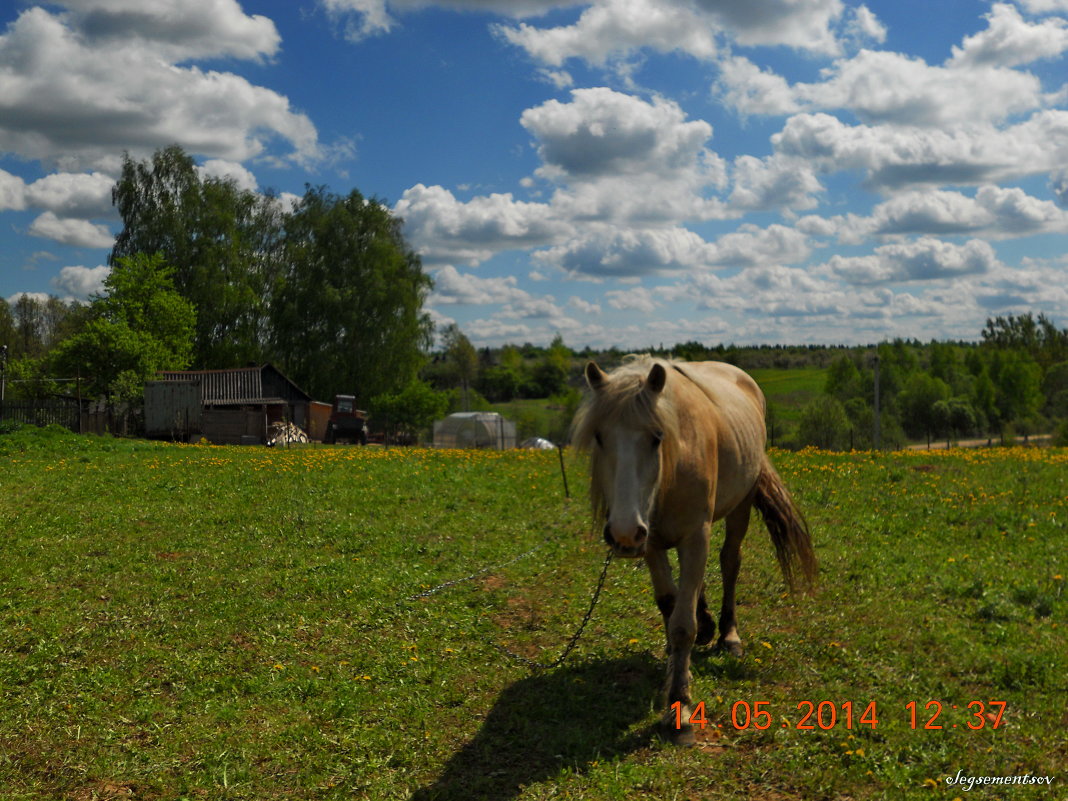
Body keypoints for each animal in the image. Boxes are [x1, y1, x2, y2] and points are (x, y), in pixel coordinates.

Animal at [576, 356, 815, 747]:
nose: (623, 532)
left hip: (739, 507)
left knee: (730, 563)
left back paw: (728, 635)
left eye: (656, 437)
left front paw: (680, 709)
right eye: (599, 437)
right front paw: (676, 667)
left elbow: (682, 625)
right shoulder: (652, 542)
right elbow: (669, 606)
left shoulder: (695, 535)